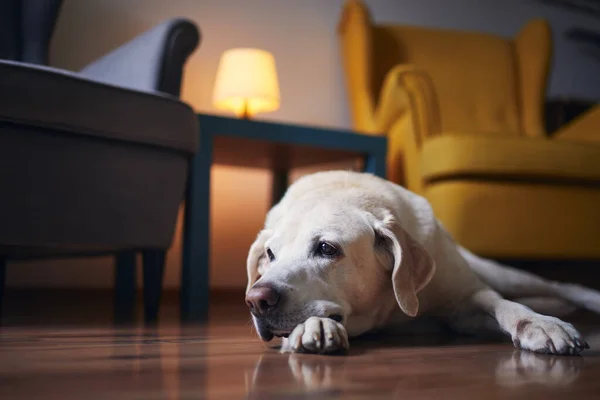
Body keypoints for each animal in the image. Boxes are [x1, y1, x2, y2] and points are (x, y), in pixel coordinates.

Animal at [245, 170, 600, 354]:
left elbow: (503, 304)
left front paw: (539, 323)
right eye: (270, 255)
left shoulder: (467, 293)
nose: (256, 300)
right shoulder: (463, 320)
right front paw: (315, 326)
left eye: (326, 248)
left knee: (559, 285)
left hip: (501, 274)